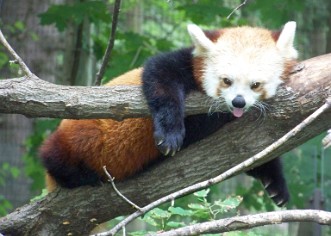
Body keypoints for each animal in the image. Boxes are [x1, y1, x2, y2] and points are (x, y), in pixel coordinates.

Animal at [40, 22, 298, 206]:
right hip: (78, 134)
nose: (239, 102)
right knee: (52, 155)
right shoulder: (178, 64)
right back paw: (79, 174)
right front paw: (171, 134)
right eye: (226, 81)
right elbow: (160, 79)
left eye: (255, 85)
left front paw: (275, 182)